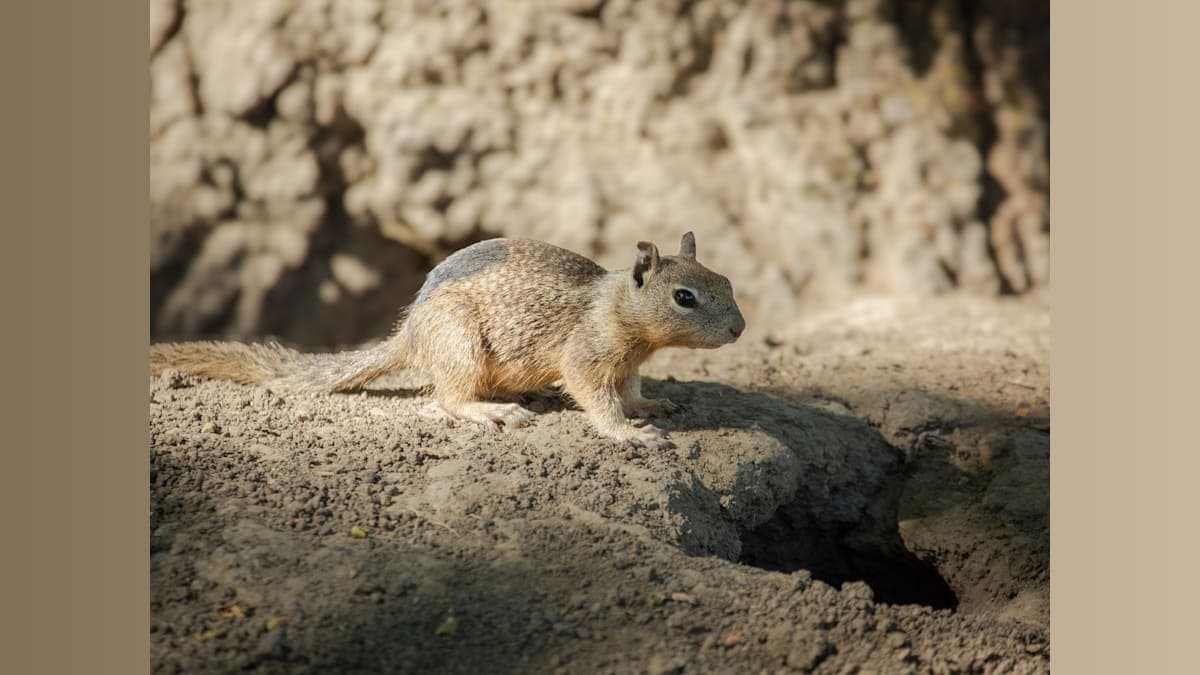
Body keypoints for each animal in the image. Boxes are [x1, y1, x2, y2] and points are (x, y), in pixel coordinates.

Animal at [150, 232, 745, 449]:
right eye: (685, 298)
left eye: (727, 281)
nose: (740, 329)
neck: (617, 305)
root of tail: (411, 332)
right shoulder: (586, 356)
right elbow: (597, 399)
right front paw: (628, 433)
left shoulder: (630, 363)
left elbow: (633, 389)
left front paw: (654, 404)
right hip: (461, 347)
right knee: (447, 400)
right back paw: (493, 411)